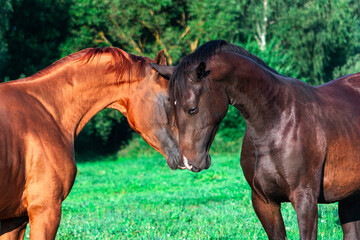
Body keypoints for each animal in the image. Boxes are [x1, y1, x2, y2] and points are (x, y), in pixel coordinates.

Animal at [151, 39, 360, 240]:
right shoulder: (264, 202)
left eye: (192, 108)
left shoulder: (305, 200)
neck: (276, 121)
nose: (188, 162)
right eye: (170, 107)